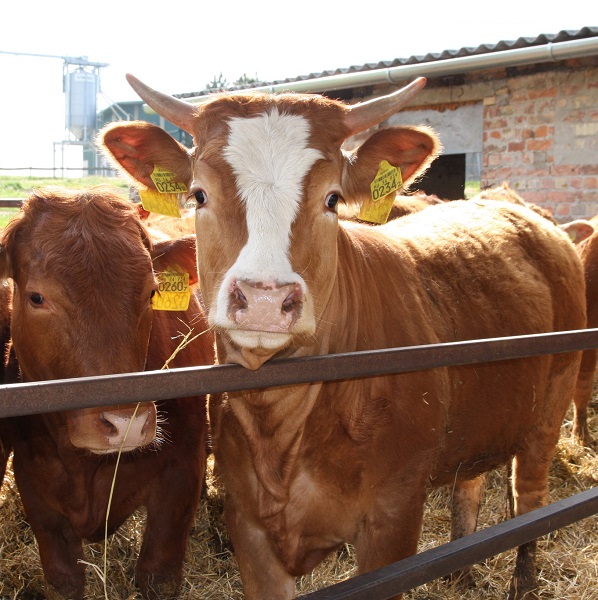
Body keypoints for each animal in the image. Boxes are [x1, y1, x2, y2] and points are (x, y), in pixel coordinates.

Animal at [0, 186, 216, 600]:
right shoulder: (33, 481)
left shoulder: (181, 469)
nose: (125, 424)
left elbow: (158, 576)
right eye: (36, 297)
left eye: (153, 292)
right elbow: (64, 579)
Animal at [101, 75, 588, 600]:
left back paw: (524, 580)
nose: (266, 298)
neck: (283, 430)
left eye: (332, 199)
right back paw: (460, 570)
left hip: (551, 405)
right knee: (470, 482)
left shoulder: (394, 520)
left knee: (530, 496)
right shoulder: (248, 525)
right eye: (198, 195)